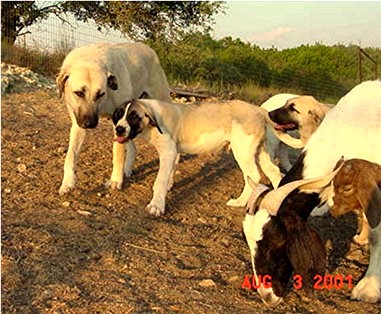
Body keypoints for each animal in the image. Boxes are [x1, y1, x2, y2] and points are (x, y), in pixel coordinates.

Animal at [56, 41, 169, 194]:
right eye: (79, 93)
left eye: (100, 94)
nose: (90, 124)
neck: (90, 58)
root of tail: (149, 49)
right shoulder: (78, 124)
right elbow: (70, 155)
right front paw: (68, 182)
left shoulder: (117, 126)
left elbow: (118, 153)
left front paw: (115, 180)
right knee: (133, 148)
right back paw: (127, 170)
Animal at [111, 98, 284, 216]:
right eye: (118, 115)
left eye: (134, 116)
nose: (118, 129)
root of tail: (258, 109)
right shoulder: (173, 152)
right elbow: (170, 172)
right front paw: (168, 187)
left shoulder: (168, 151)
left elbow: (159, 181)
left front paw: (156, 205)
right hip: (260, 151)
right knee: (274, 172)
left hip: (243, 150)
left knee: (253, 176)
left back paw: (239, 202)